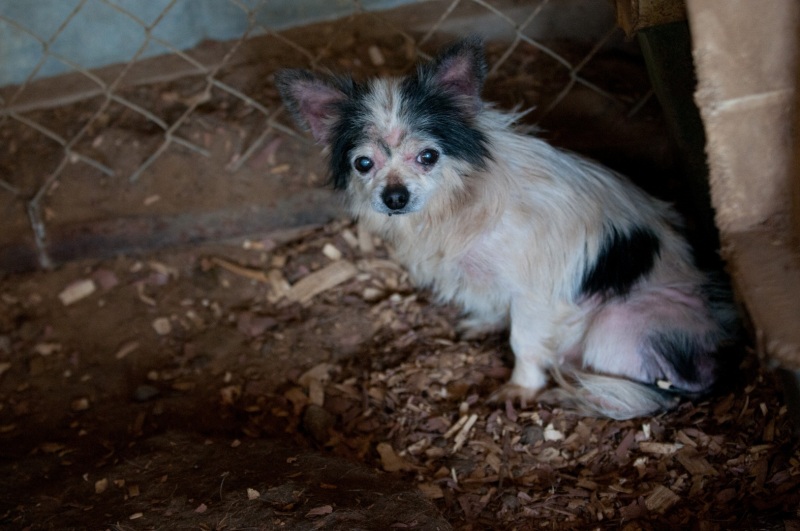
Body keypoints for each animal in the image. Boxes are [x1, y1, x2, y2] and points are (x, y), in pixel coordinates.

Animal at [276, 36, 736, 420]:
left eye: (428, 157)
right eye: (363, 163)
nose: (394, 197)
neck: (453, 206)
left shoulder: (536, 295)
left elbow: (524, 341)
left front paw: (520, 388)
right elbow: (492, 306)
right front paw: (484, 323)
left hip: (613, 326)